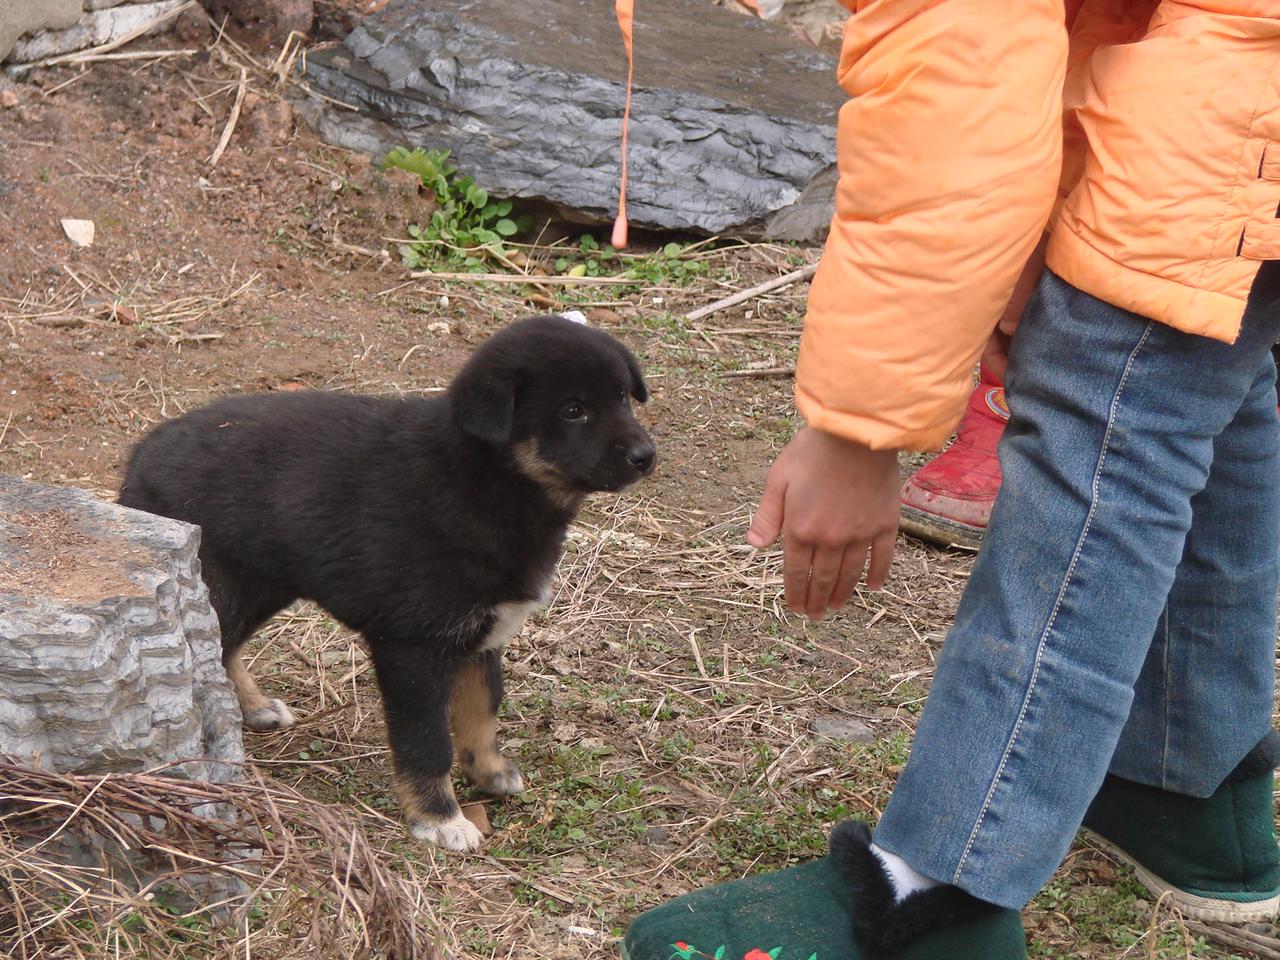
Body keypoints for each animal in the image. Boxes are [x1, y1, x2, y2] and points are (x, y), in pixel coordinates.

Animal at [119, 316, 655, 849]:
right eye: (573, 411)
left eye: (623, 397)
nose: (646, 456)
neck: (485, 480)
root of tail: (141, 454)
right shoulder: (412, 647)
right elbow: (426, 742)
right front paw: (439, 818)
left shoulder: (483, 635)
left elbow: (482, 712)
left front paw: (489, 773)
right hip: (219, 583)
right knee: (214, 651)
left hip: (258, 585)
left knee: (224, 648)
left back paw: (253, 707)